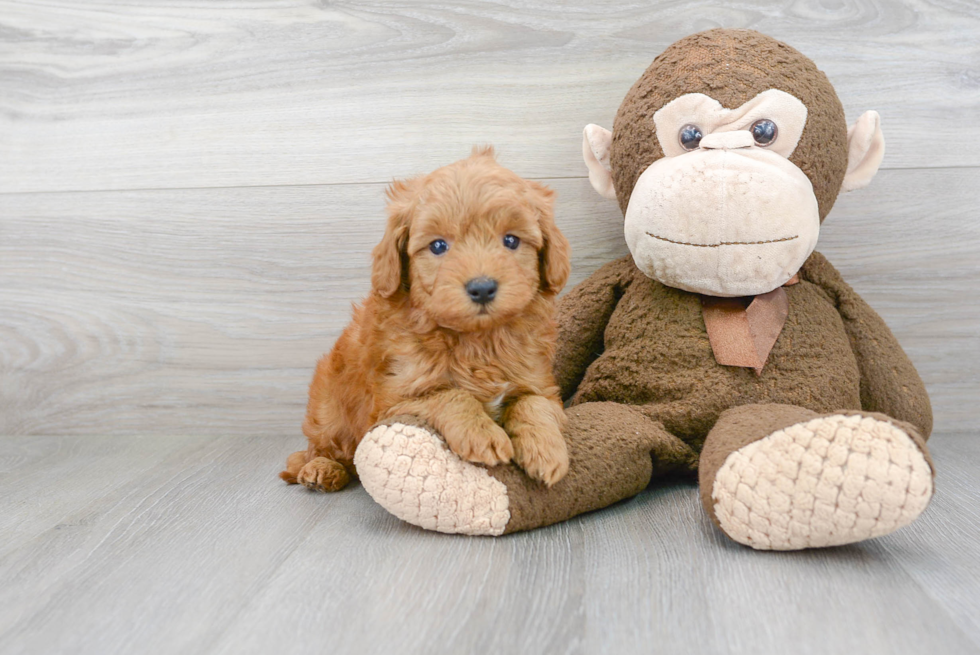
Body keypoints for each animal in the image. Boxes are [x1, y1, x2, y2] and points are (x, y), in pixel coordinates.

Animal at [280, 149, 572, 494]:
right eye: (438, 246)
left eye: (511, 241)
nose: (482, 288)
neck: (477, 340)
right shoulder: (393, 402)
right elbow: (448, 395)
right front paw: (481, 434)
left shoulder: (539, 382)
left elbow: (534, 404)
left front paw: (546, 450)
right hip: (327, 407)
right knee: (323, 449)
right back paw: (321, 469)